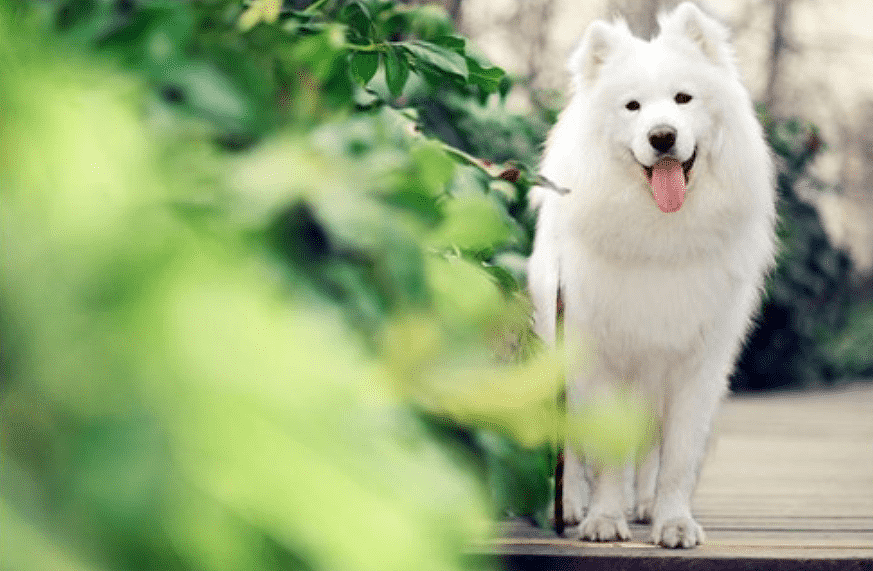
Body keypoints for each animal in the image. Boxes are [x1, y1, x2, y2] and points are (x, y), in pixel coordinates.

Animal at [524, 3, 776, 548]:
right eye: (633, 107)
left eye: (683, 98)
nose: (662, 136)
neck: (661, 236)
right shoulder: (598, 358)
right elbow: (605, 456)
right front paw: (603, 519)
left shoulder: (695, 364)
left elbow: (677, 458)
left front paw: (672, 522)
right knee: (573, 447)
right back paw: (571, 505)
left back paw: (644, 505)